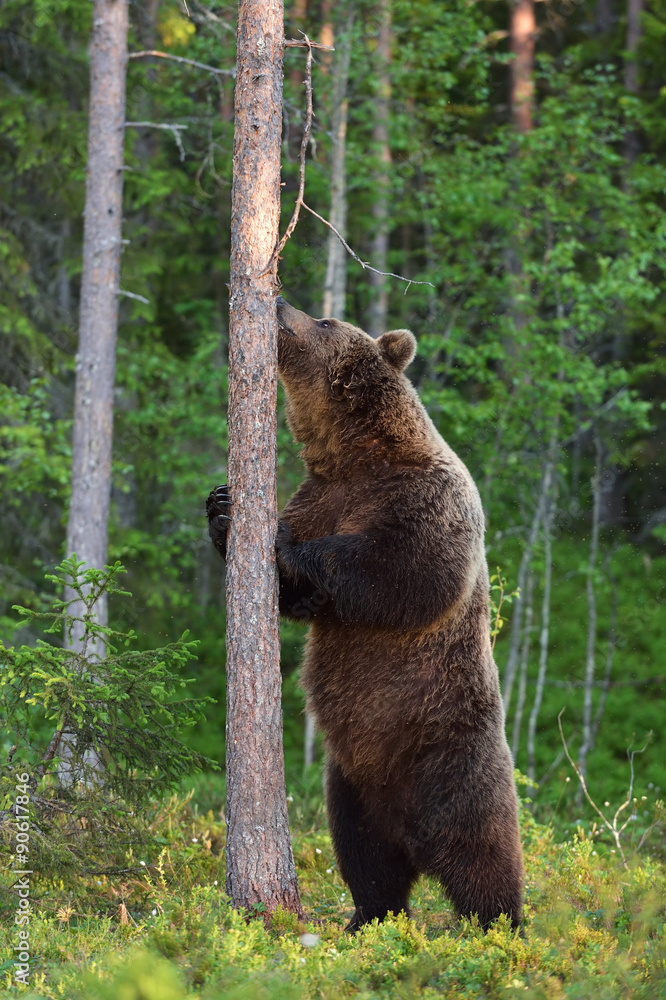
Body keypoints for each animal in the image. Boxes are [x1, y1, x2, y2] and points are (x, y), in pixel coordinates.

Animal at [207, 296, 523, 932]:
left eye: (327, 321)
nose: (281, 301)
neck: (357, 455)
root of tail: (411, 830)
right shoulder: (320, 495)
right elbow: (296, 598)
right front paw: (223, 508)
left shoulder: (426, 497)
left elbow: (410, 570)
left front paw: (286, 546)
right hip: (351, 784)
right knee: (366, 858)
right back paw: (368, 918)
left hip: (453, 757)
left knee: (482, 851)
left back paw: (501, 927)